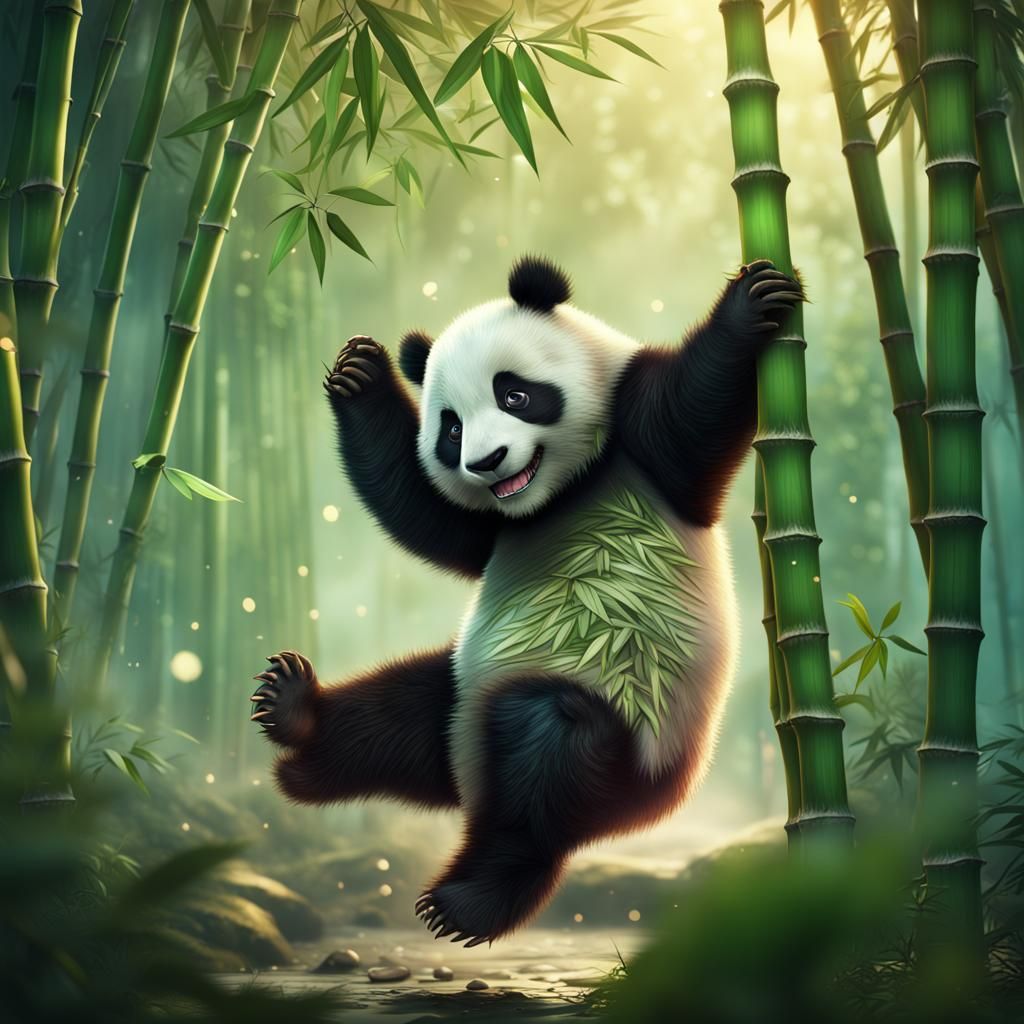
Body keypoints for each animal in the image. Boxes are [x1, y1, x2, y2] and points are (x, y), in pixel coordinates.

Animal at [249, 255, 803, 946]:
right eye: (450, 428)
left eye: (514, 394)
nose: (487, 462)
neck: (557, 493)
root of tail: (468, 778)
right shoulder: (497, 523)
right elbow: (435, 519)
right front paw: (359, 372)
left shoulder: (639, 445)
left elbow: (691, 418)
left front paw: (755, 298)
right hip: (459, 691)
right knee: (400, 714)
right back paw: (295, 715)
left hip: (631, 733)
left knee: (543, 767)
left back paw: (470, 900)